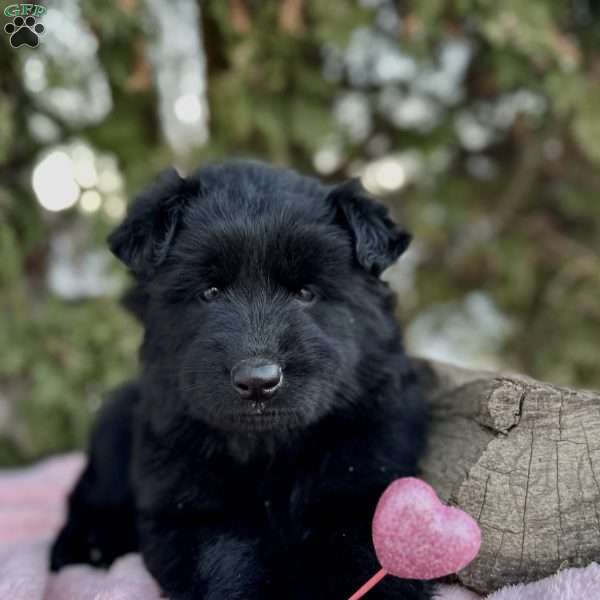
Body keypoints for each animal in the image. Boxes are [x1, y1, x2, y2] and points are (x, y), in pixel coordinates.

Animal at [50, 161, 432, 600]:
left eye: (306, 292)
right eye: (210, 291)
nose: (257, 381)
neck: (269, 448)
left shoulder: (365, 483)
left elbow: (362, 556)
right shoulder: (192, 508)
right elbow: (226, 558)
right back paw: (85, 545)